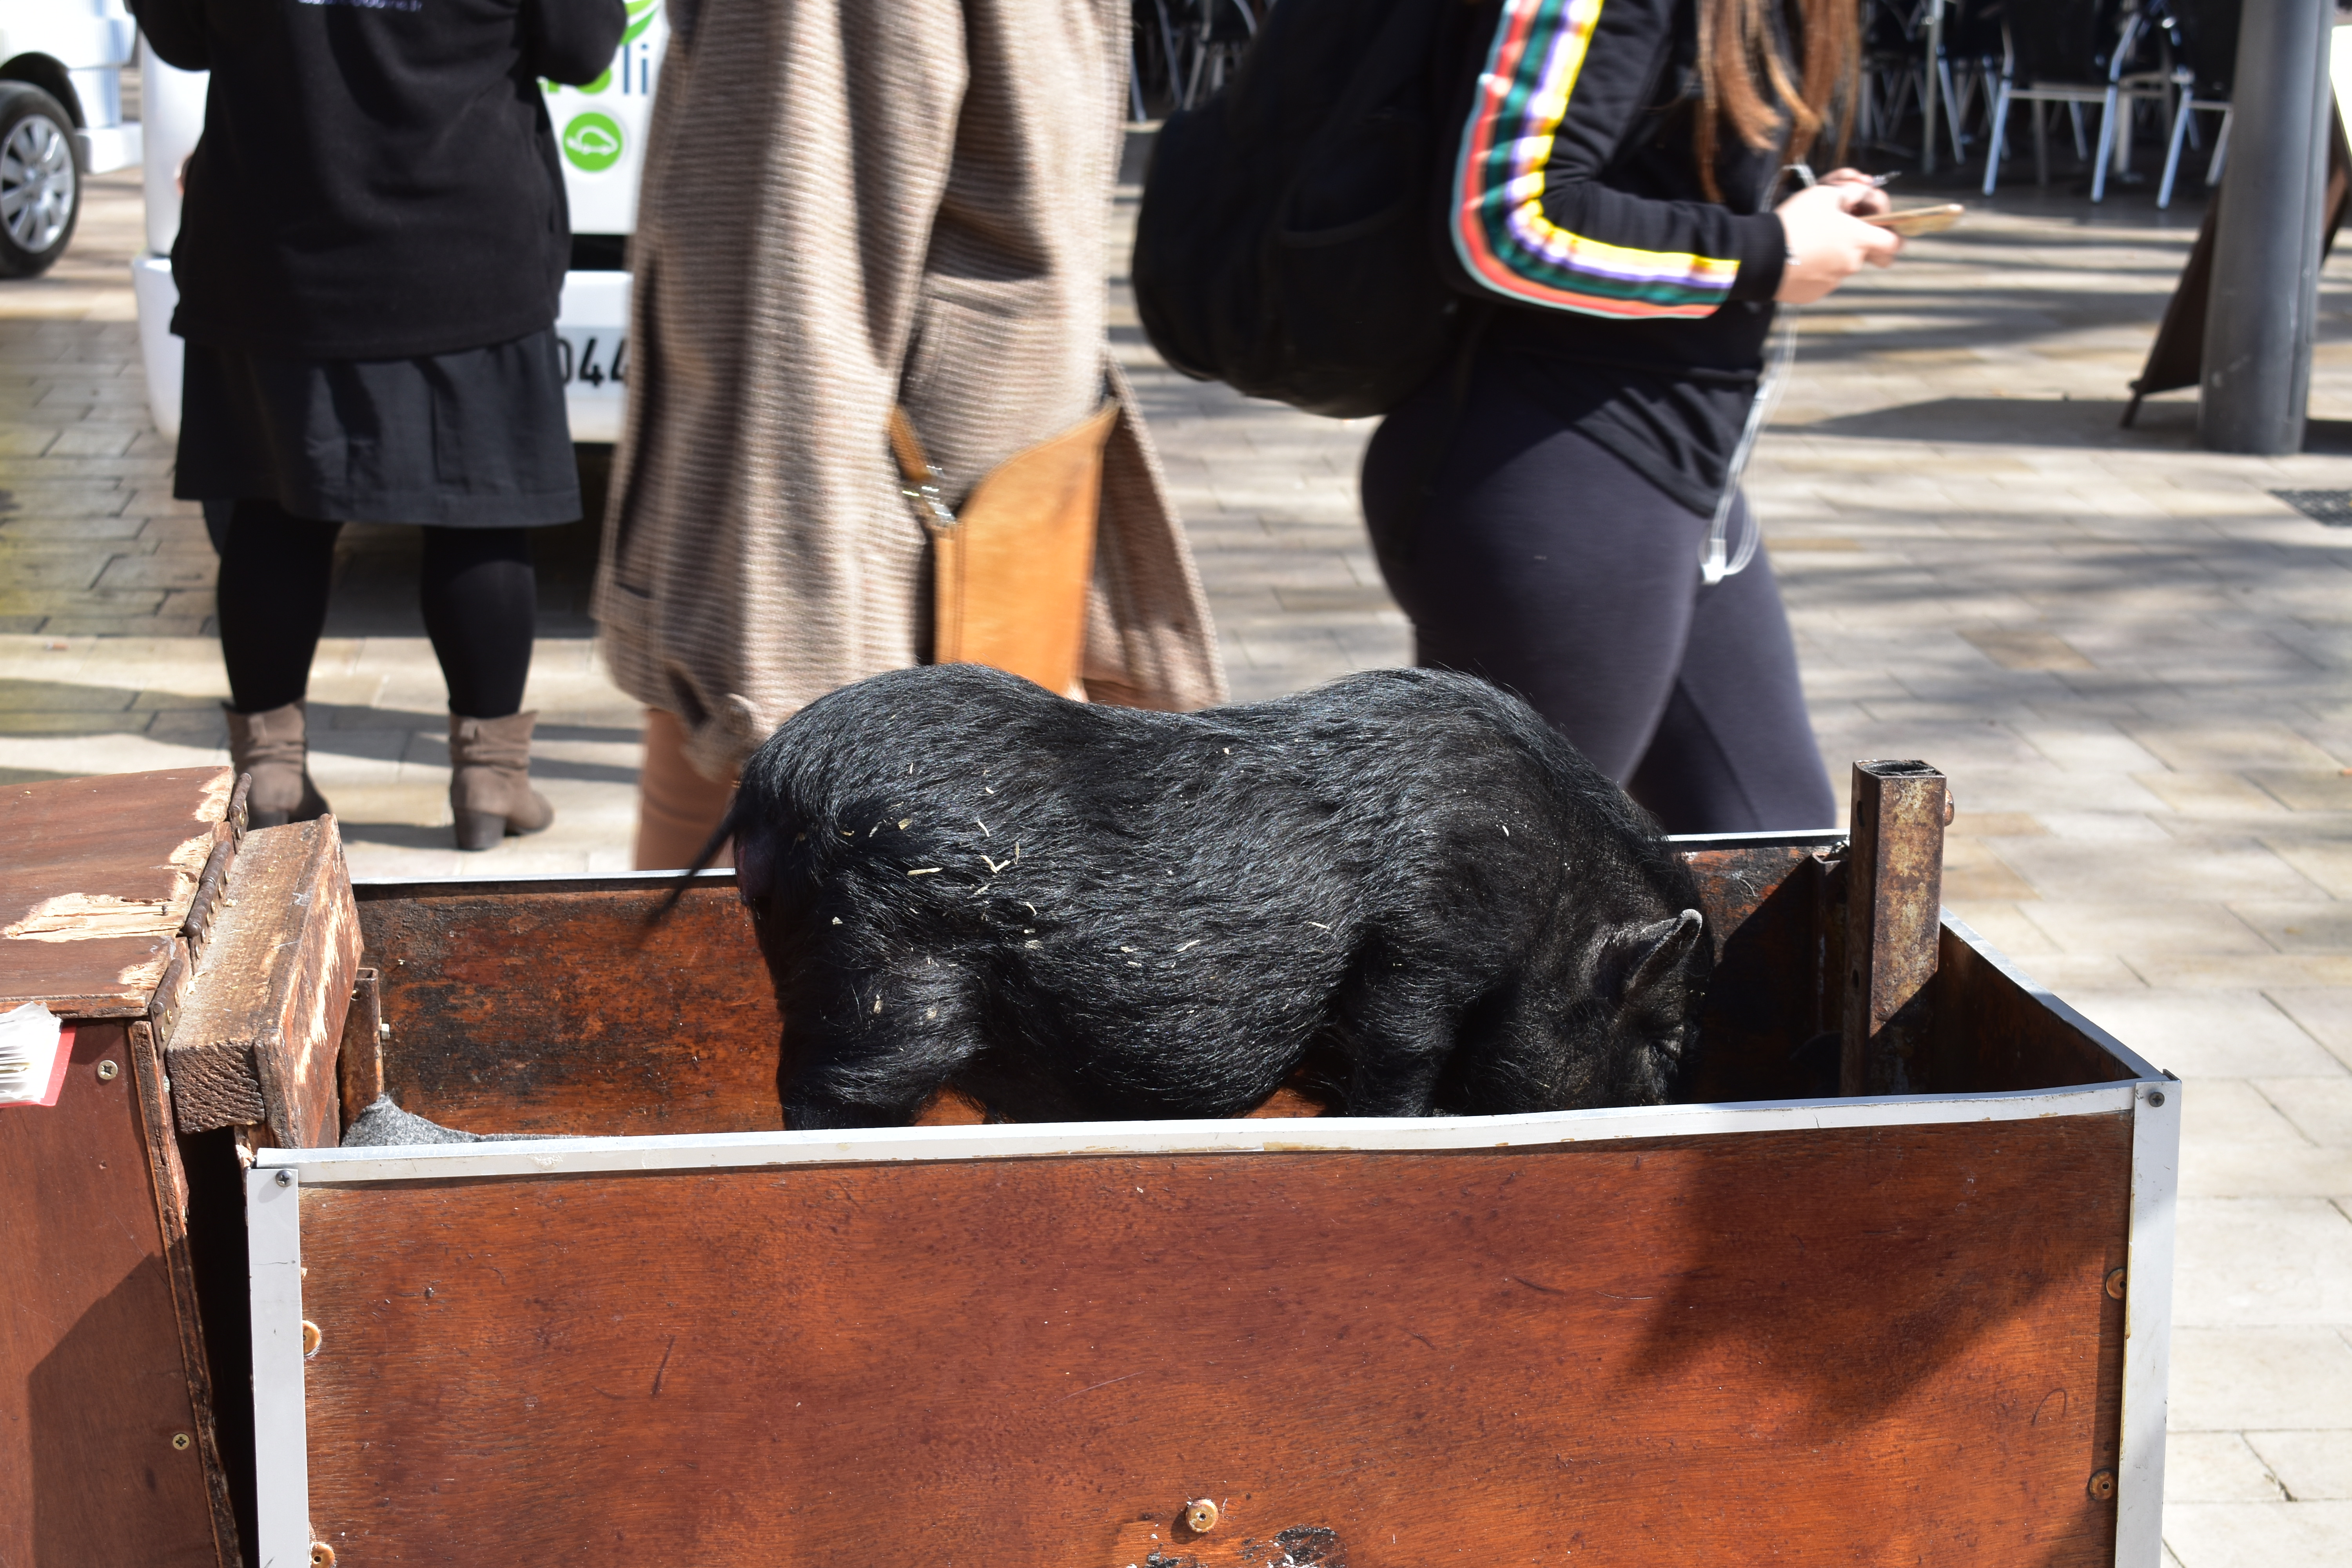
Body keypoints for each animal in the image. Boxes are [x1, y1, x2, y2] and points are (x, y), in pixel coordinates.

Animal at [704, 664, 1711, 1129]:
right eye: (1665, 1041)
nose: (1672, 1094)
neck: (1558, 897)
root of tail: (768, 783)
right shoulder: (1430, 934)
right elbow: (1401, 1048)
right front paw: (1406, 1126)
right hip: (889, 978)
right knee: (827, 1092)